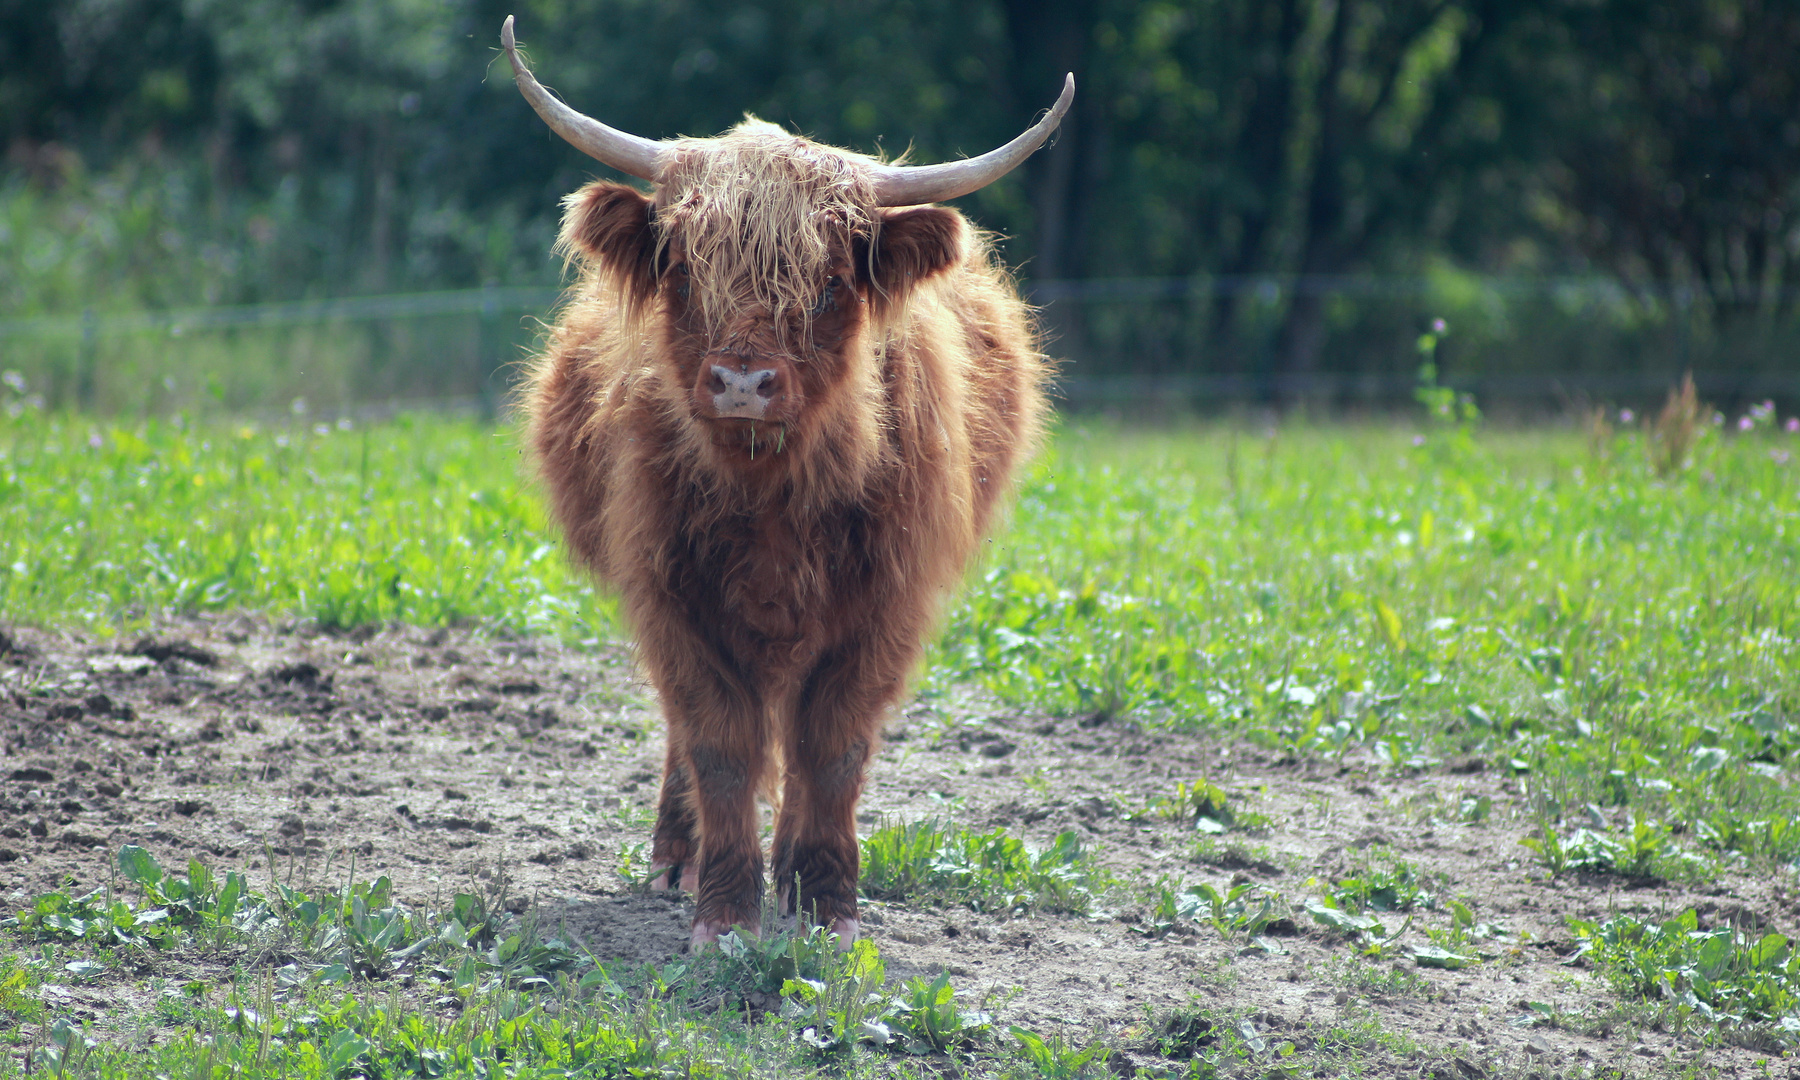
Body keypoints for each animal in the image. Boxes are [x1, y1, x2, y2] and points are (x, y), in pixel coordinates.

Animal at [500, 14, 1058, 943]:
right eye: (684, 271)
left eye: (829, 284)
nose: (742, 383)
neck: (771, 503)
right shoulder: (672, 596)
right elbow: (719, 742)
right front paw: (725, 913)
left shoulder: (885, 605)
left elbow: (830, 746)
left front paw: (825, 901)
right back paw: (678, 857)